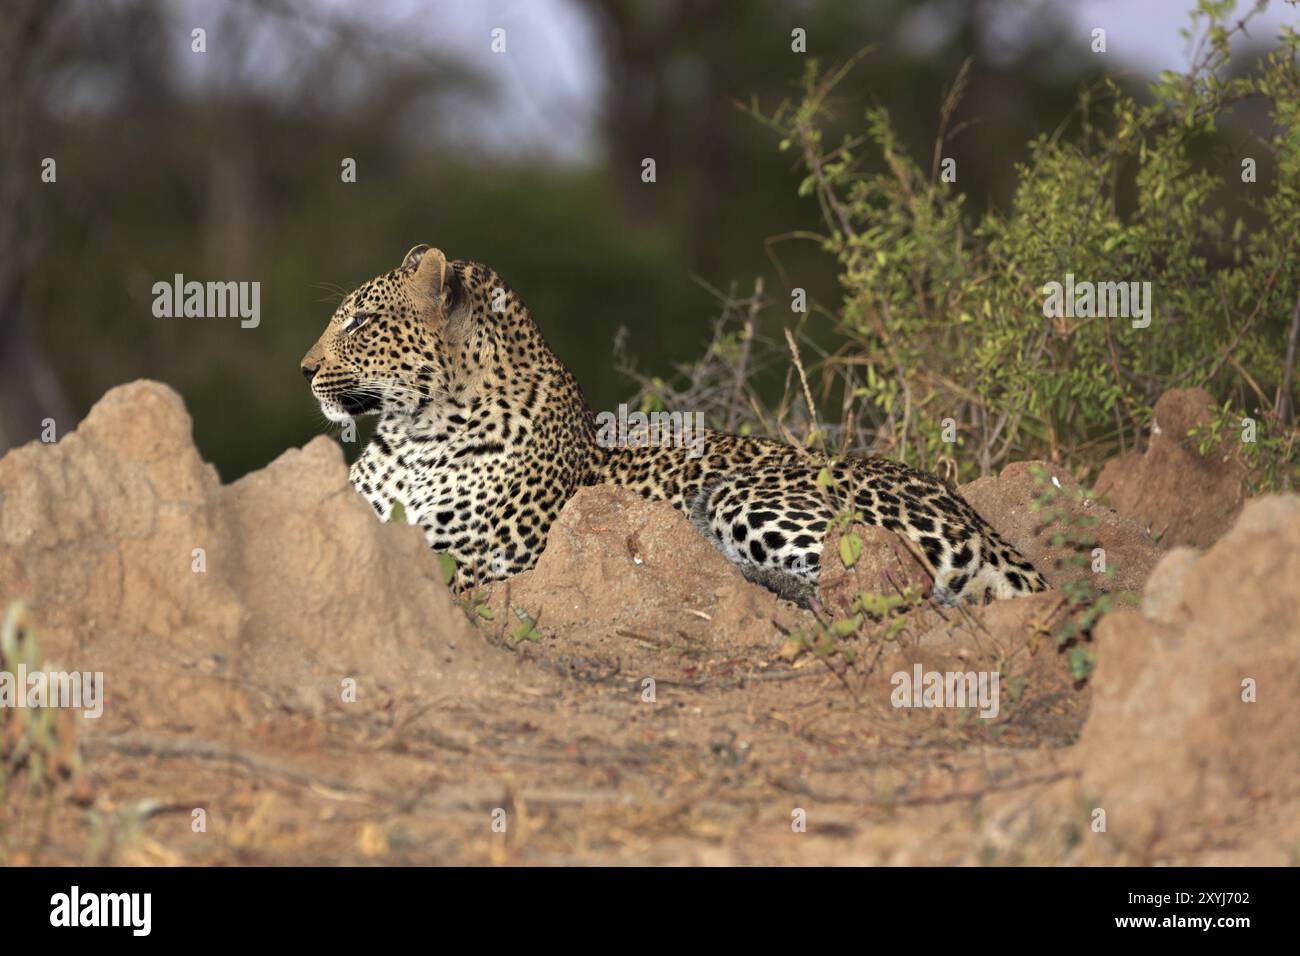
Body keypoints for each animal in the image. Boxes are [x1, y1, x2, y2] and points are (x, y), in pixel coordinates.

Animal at [297, 247, 1045, 606]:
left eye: (359, 322)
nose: (303, 370)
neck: (416, 438)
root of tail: (973, 513)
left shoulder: (492, 563)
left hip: (745, 493)